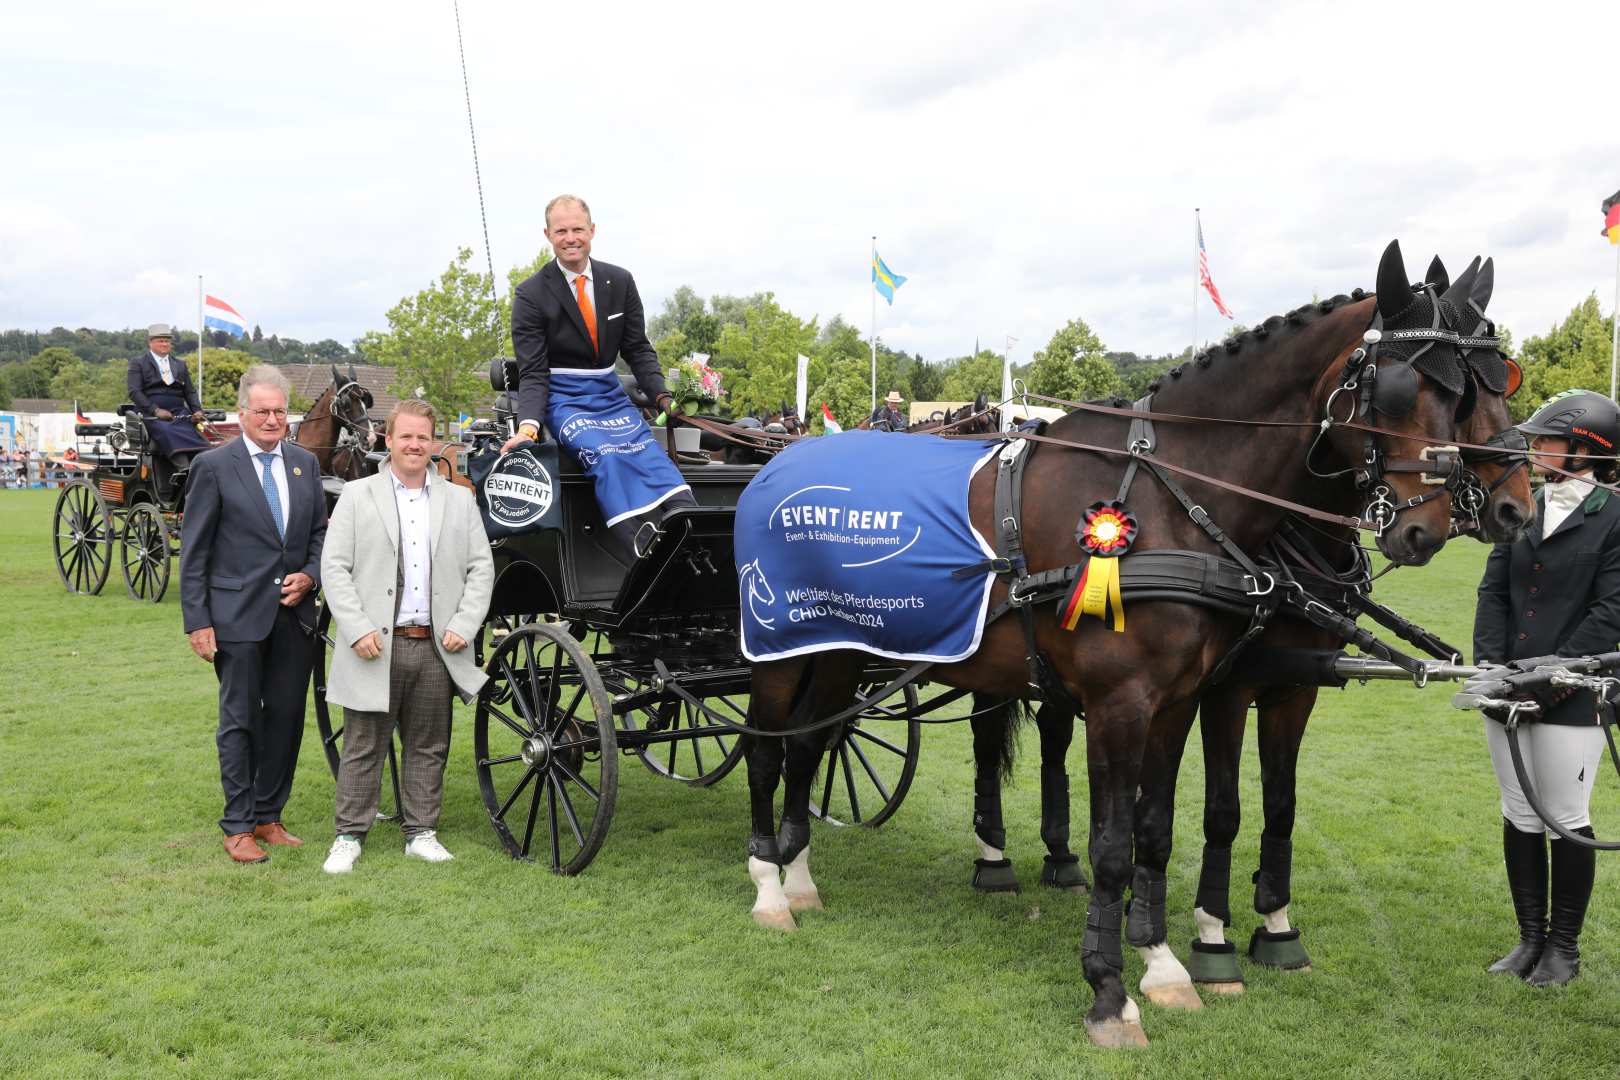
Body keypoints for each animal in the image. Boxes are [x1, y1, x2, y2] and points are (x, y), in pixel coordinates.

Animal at [741, 238, 1483, 1049]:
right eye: (1397, 389)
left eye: (1462, 394)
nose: (1431, 526)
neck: (1171, 500)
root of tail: (780, 460)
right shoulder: (1120, 703)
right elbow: (1111, 845)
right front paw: (1108, 991)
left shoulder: (1180, 702)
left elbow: (1154, 834)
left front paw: (1162, 965)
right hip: (777, 650)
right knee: (766, 750)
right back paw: (768, 886)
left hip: (842, 652)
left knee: (811, 745)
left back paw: (800, 879)